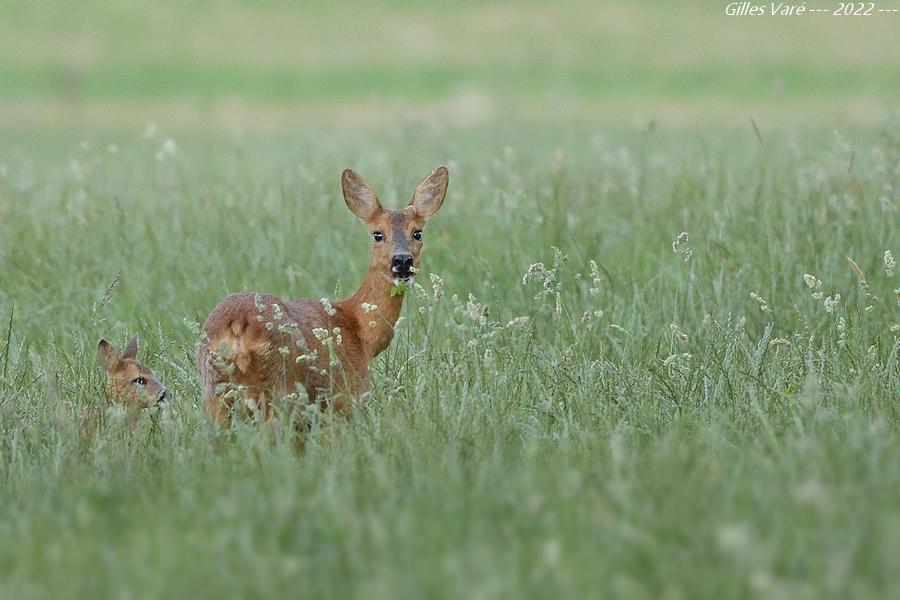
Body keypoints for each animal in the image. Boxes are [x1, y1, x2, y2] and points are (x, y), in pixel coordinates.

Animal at [198, 166, 450, 424]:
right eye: (378, 234)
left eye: (417, 233)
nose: (402, 261)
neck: (359, 331)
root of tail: (237, 326)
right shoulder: (345, 396)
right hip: (279, 388)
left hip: (214, 391)